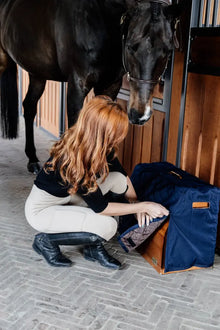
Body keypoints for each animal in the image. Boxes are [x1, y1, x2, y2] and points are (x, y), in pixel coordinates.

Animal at [0, 0, 184, 173]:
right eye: (131, 46)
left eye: (168, 51)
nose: (140, 115)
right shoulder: (77, 85)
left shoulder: (111, 85)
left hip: (37, 73)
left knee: (29, 107)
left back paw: (32, 160)